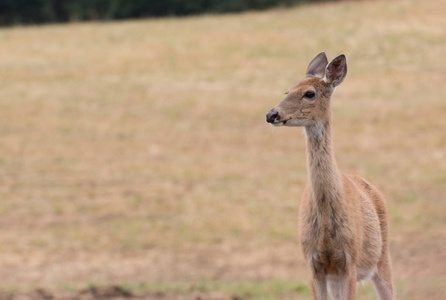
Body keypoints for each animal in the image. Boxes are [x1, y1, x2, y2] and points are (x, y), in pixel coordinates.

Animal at [264, 52, 394, 298]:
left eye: (309, 93)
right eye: (287, 91)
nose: (271, 114)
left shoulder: (349, 261)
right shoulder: (313, 262)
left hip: (383, 258)